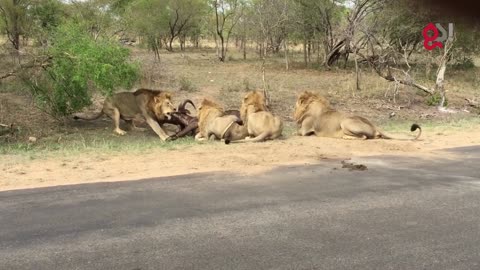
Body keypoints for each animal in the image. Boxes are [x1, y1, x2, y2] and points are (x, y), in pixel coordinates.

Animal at [294, 91, 422, 140]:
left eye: (295, 105)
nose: (293, 115)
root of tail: (373, 124)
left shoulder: (304, 130)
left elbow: (296, 132)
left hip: (345, 122)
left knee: (363, 137)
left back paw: (344, 137)